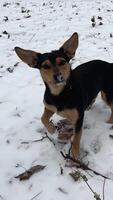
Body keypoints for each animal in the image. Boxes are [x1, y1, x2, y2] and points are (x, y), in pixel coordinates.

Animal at [14, 32, 113, 161]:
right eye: (45, 66)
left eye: (62, 62)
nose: (58, 77)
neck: (59, 94)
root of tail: (109, 64)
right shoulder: (49, 106)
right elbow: (43, 118)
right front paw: (52, 130)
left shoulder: (78, 120)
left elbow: (76, 139)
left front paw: (75, 156)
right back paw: (88, 106)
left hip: (107, 94)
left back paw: (108, 123)